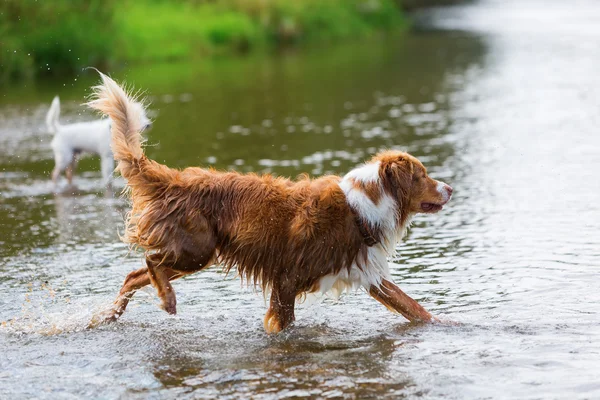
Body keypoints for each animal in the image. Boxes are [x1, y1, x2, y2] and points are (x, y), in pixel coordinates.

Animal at [89, 72, 452, 334]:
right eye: (422, 175)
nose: (449, 188)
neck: (362, 207)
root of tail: (174, 178)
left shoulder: (363, 270)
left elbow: (415, 307)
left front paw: (453, 325)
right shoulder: (287, 277)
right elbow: (282, 322)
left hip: (194, 253)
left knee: (133, 275)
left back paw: (109, 315)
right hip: (196, 250)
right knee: (150, 262)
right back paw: (166, 301)